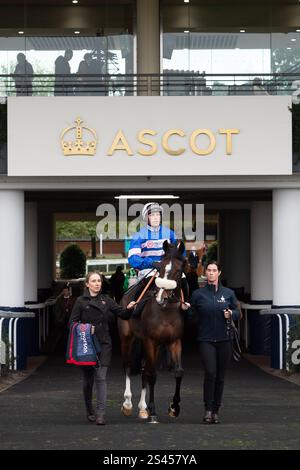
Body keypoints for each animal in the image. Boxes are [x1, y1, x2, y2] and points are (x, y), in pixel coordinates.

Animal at [118, 241, 186, 424]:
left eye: (179, 270)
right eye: (160, 267)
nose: (161, 296)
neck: (166, 311)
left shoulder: (174, 341)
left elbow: (178, 372)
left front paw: (174, 408)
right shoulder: (151, 341)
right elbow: (153, 374)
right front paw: (153, 411)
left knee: (144, 371)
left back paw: (143, 409)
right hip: (128, 338)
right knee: (128, 366)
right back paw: (128, 404)